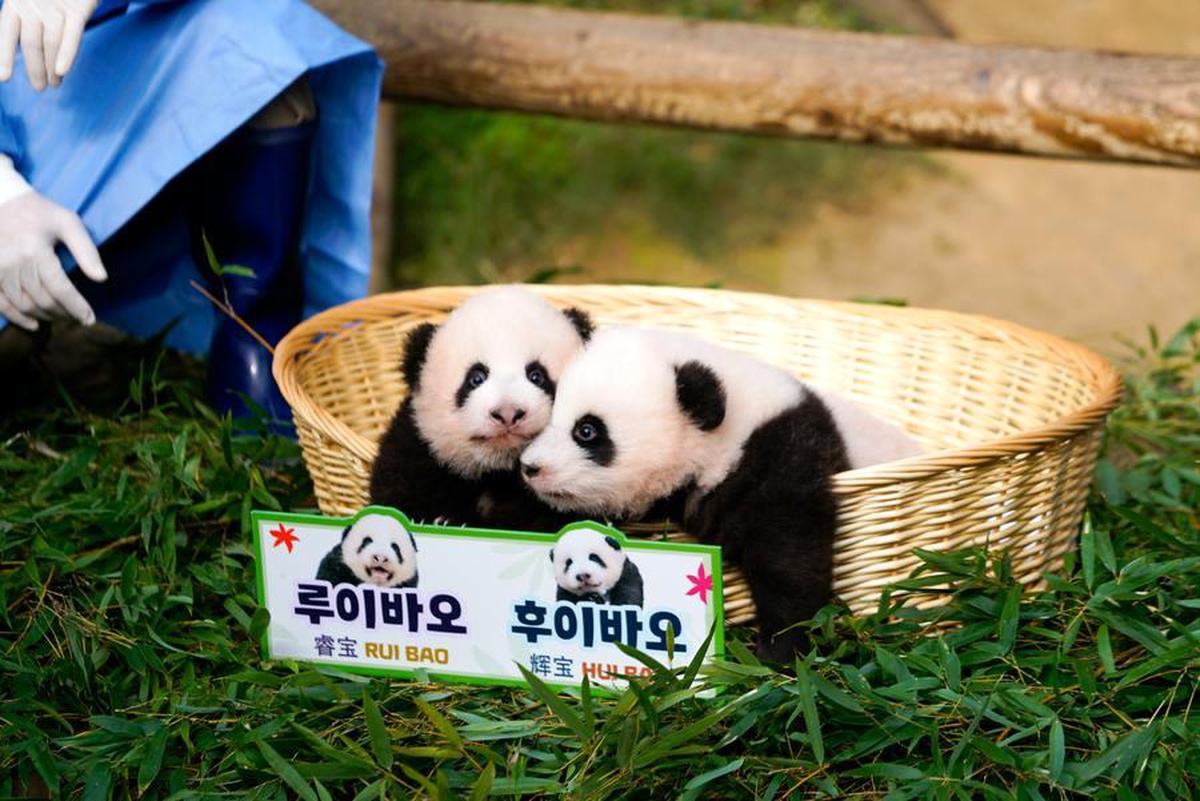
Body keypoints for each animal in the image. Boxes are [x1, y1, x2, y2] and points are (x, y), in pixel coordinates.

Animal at [368, 286, 593, 529]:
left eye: (537, 376)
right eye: (475, 378)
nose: (508, 413)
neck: (497, 470)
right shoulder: (417, 447)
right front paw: (445, 520)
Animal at [518, 326, 923, 660]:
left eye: (586, 430)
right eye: (551, 415)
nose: (530, 467)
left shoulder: (783, 452)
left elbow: (791, 550)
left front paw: (782, 649)